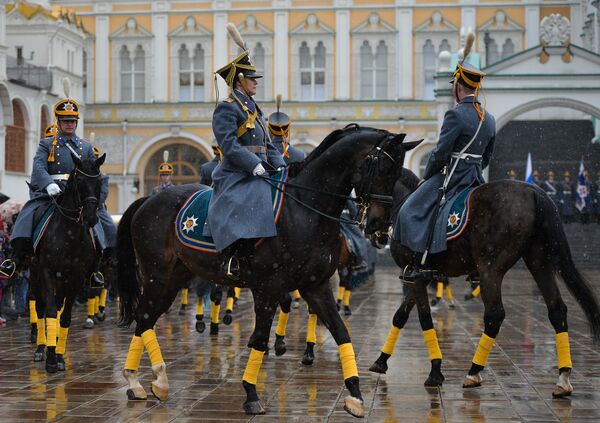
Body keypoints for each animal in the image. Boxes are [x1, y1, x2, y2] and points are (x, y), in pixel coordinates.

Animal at [30, 154, 105, 372]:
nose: (91, 217)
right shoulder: (47, 273)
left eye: (99, 182)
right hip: (35, 277)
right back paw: (41, 347)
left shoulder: (76, 278)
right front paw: (50, 359)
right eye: (79, 181)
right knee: (40, 307)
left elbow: (65, 316)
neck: (69, 232)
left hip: (62, 281)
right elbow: (49, 311)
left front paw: (59, 356)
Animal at [115, 125, 420, 418]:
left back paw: (148, 381)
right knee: (145, 316)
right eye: (383, 168)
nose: (380, 226)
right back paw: (145, 379)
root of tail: (147, 200)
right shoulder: (269, 287)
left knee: (146, 320)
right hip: (157, 276)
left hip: (174, 278)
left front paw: (355, 395)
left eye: (397, 173)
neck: (305, 208)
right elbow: (260, 339)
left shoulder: (316, 285)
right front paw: (251, 394)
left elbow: (341, 332)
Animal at [364, 168, 600, 398]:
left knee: (495, 315)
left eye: (370, 177)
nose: (370, 225)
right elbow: (401, 315)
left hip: (490, 269)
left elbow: (424, 318)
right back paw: (563, 378)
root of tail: (534, 192)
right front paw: (381, 360)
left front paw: (435, 371)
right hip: (538, 261)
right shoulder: (417, 275)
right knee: (557, 310)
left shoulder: (415, 274)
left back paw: (473, 371)